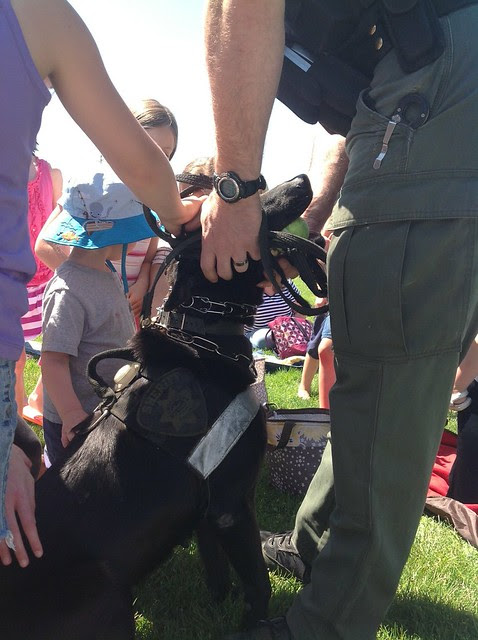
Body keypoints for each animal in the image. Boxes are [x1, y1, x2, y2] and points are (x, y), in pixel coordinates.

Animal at [0, 175, 321, 640]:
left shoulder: (210, 511)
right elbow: (257, 585)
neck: (203, 334)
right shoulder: (232, 506)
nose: (302, 179)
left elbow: (217, 570)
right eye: (245, 207)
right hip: (108, 596)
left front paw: (219, 609)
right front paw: (255, 627)